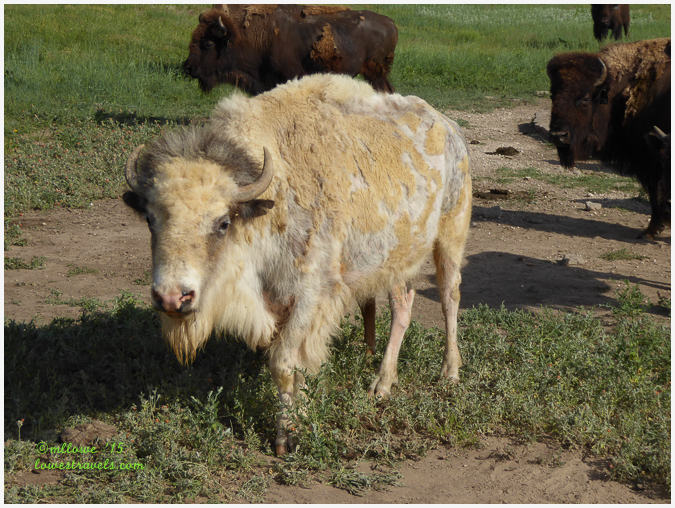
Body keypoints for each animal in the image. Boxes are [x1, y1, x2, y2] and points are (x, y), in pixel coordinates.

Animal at [547, 38, 670, 239]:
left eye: (585, 98)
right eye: (552, 95)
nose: (559, 136)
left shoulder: (650, 160)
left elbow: (655, 194)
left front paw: (649, 231)